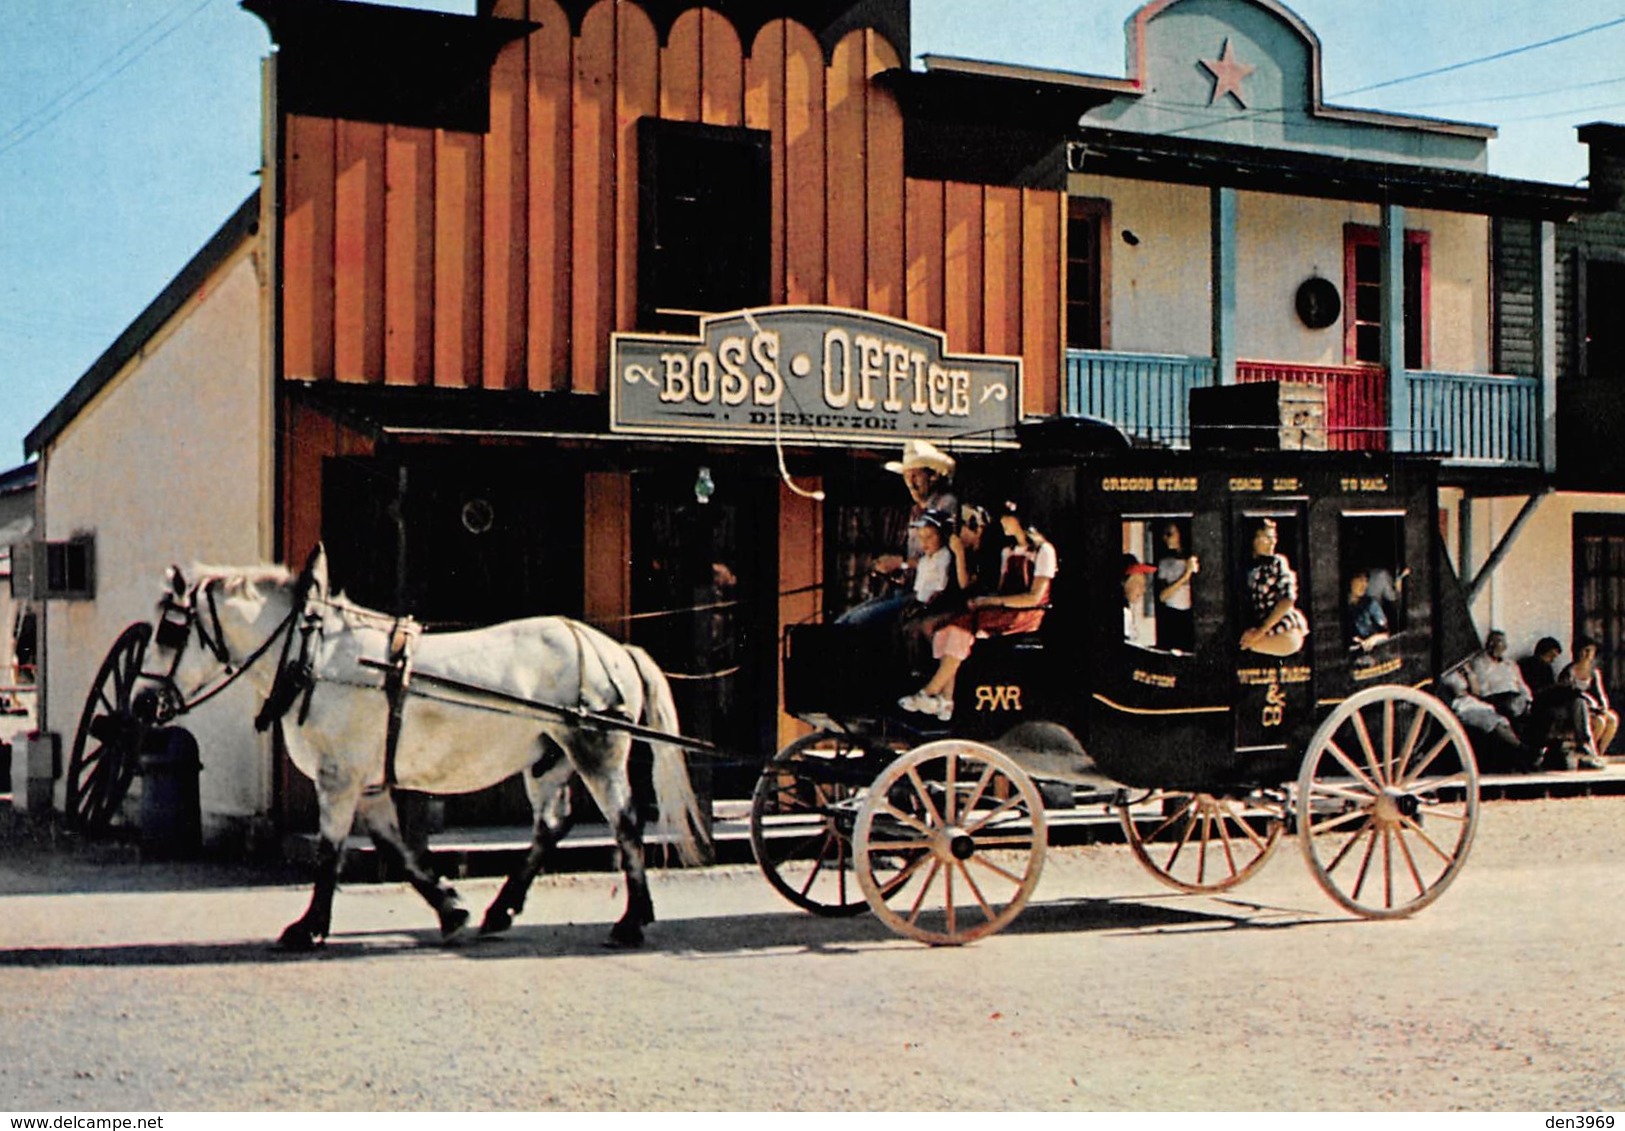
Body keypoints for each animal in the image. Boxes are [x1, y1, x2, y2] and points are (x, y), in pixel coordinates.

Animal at [151, 542, 705, 949]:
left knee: (626, 825)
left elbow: (330, 852)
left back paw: (631, 921)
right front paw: (451, 909)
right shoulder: (369, 784)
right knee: (552, 825)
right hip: (548, 759)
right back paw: (501, 911)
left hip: (595, 753)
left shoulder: (339, 779)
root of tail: (613, 649)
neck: (317, 658)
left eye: (170, 631)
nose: (143, 705)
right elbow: (398, 851)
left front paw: (306, 929)